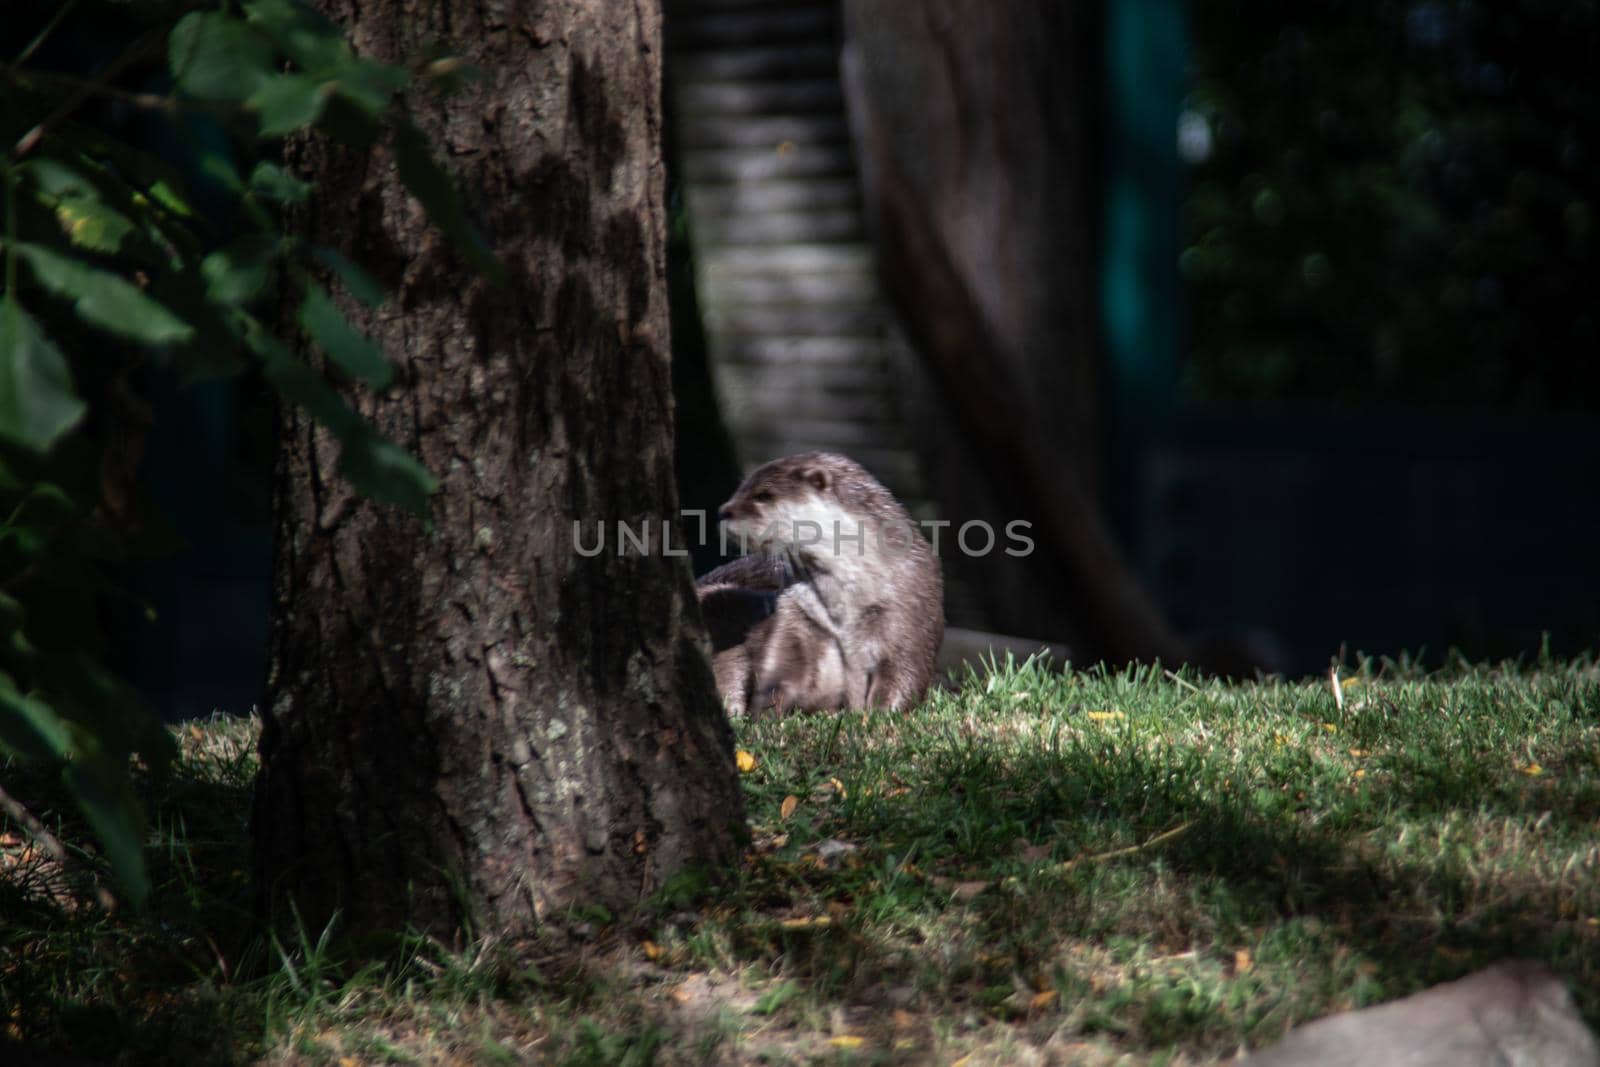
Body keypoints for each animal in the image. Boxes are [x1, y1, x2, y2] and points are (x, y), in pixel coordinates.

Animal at [694, 454, 940, 716]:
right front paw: (766, 715)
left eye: (764, 495)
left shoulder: (910, 614)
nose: (722, 512)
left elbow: (905, 676)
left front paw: (879, 715)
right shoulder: (795, 617)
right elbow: (780, 671)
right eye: (742, 487)